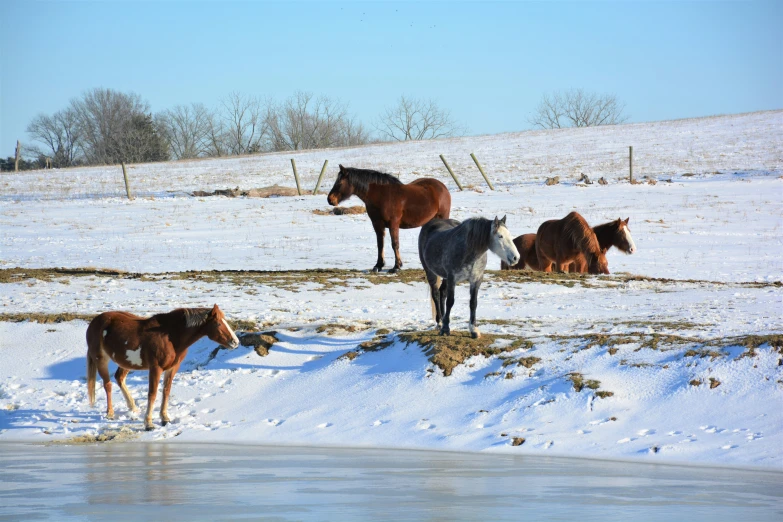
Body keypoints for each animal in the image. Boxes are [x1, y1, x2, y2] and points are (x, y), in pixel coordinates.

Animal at [86, 302, 239, 428]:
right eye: (218, 324)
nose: (235, 342)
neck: (170, 336)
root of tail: (95, 322)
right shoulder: (156, 368)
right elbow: (152, 394)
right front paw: (148, 423)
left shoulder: (172, 368)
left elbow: (166, 391)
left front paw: (164, 418)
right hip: (101, 360)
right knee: (108, 385)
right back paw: (110, 413)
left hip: (126, 362)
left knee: (119, 378)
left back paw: (133, 408)